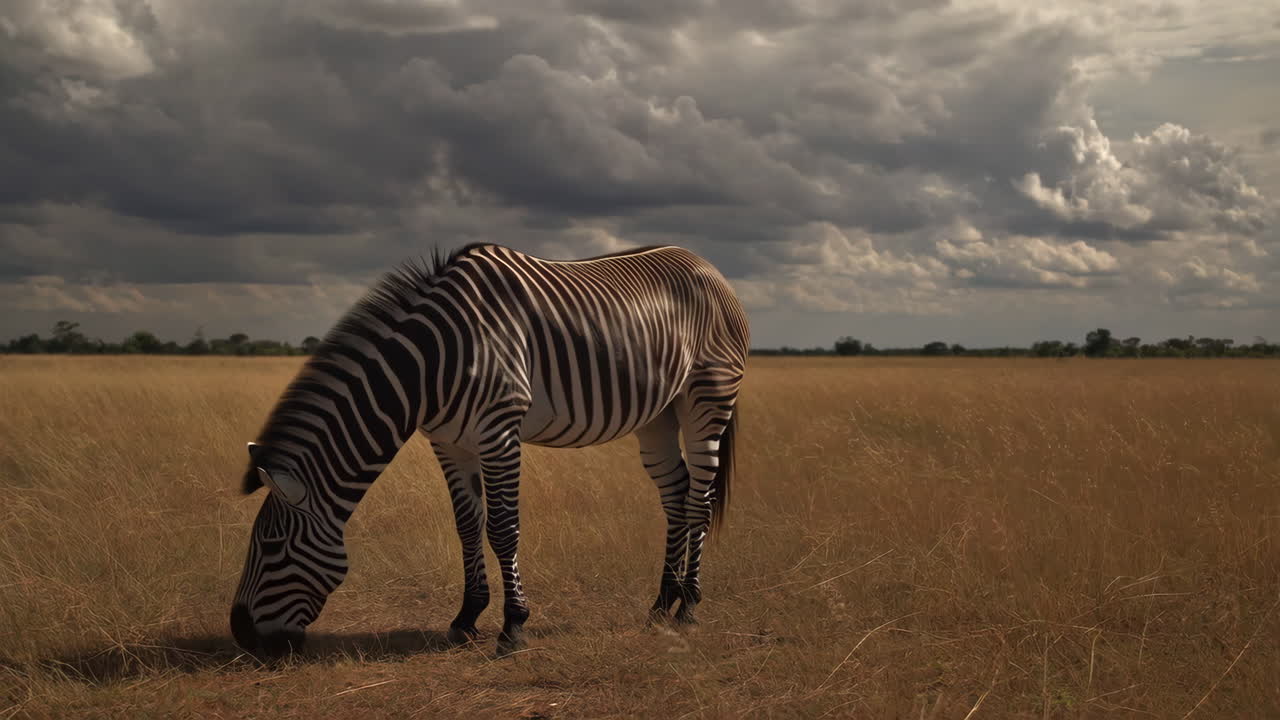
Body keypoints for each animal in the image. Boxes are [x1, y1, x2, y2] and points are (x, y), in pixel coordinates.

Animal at [230, 243, 749, 657]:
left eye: (271, 546)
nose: (240, 634)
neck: (431, 365)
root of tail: (704, 263)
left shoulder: (499, 433)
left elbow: (502, 528)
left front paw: (513, 626)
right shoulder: (449, 443)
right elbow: (467, 526)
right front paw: (465, 618)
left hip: (707, 398)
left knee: (699, 501)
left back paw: (690, 606)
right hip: (658, 416)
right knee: (676, 496)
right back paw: (662, 603)